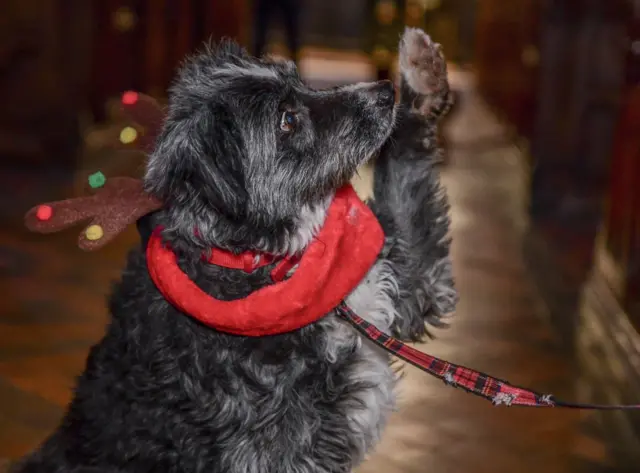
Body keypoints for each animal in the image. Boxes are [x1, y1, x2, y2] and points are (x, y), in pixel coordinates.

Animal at [13, 28, 456, 472]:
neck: (265, 266)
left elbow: (404, 178)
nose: (384, 92)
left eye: (299, 80)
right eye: (287, 120)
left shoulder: (410, 287)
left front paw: (419, 75)